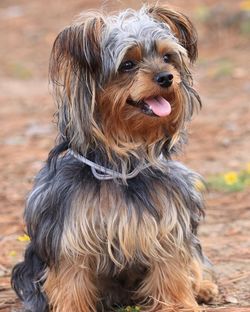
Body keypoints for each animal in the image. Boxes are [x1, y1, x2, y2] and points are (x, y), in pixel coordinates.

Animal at [11, 4, 218, 312]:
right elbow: (71, 279)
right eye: (127, 65)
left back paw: (203, 287)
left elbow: (171, 267)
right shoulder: (70, 231)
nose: (166, 77)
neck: (120, 163)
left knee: (193, 259)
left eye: (167, 57)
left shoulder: (168, 219)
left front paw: (179, 305)